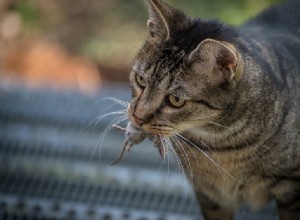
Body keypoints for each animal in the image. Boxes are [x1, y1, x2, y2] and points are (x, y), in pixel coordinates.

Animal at [121, 0, 300, 220]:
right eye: (140, 80)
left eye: (176, 100)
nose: (137, 116)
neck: (219, 146)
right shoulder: (210, 195)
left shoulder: (291, 190)